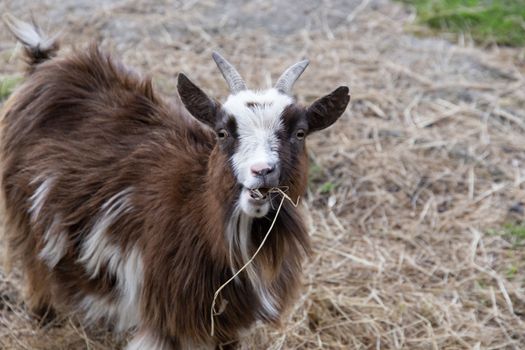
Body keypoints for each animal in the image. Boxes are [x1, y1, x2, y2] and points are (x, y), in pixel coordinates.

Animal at [1, 14, 352, 350]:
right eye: (222, 132)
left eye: (300, 133)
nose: (261, 171)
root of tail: (45, 66)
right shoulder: (164, 315)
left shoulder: (226, 320)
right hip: (24, 216)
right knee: (34, 266)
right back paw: (44, 317)